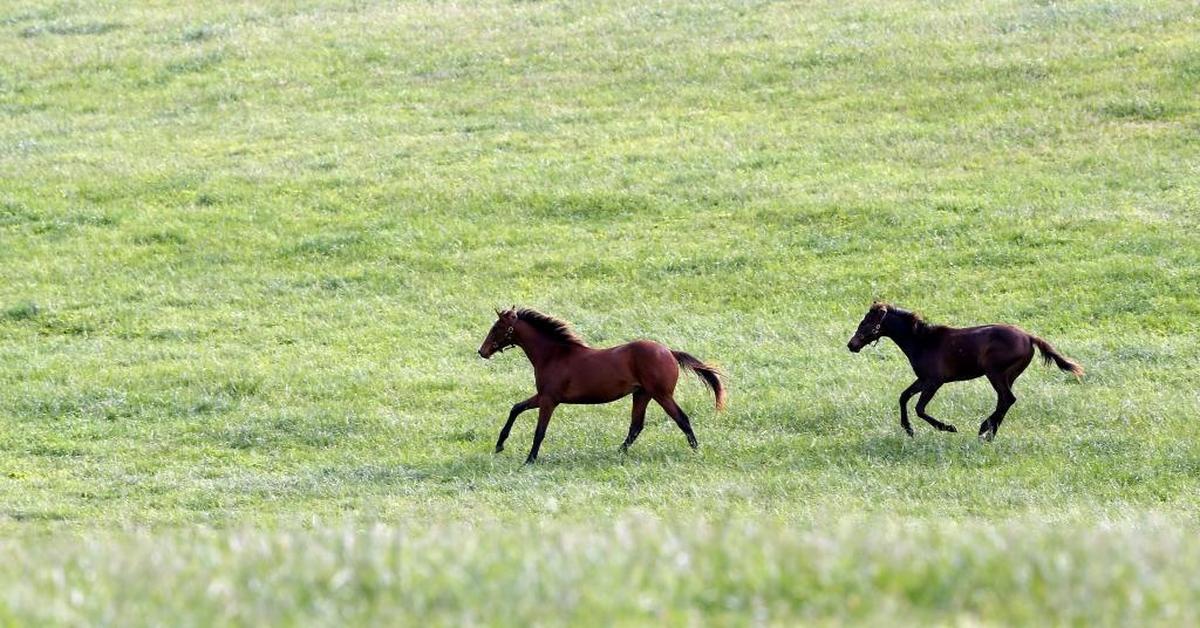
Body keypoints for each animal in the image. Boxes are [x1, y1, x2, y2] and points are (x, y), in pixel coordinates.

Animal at [477, 307, 726, 464]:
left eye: (497, 327)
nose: (482, 351)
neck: (554, 354)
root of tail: (670, 352)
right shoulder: (543, 397)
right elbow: (516, 408)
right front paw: (500, 445)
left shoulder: (549, 400)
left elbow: (540, 431)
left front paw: (529, 460)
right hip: (642, 395)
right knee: (636, 426)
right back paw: (617, 453)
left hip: (661, 394)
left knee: (681, 419)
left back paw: (695, 450)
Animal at [847, 302, 1083, 441]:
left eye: (867, 322)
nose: (851, 345)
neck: (922, 341)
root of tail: (1029, 337)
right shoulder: (923, 379)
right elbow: (903, 397)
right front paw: (909, 430)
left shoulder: (934, 381)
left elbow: (920, 408)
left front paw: (948, 427)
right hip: (1008, 376)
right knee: (1005, 401)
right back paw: (988, 433)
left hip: (995, 373)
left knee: (1007, 399)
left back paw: (984, 430)